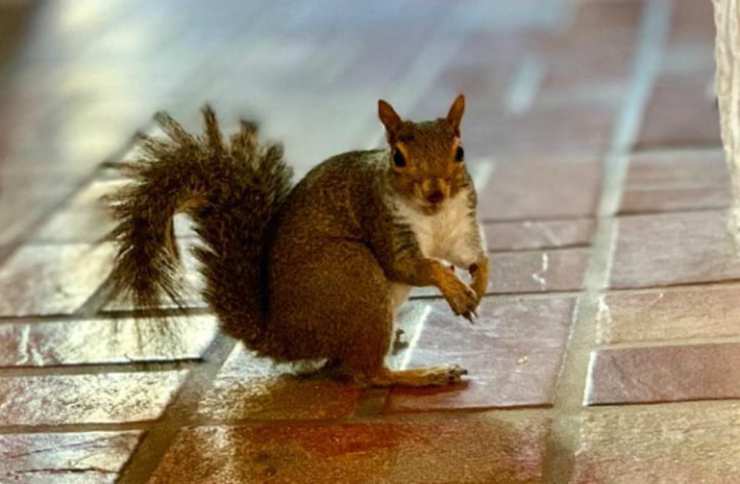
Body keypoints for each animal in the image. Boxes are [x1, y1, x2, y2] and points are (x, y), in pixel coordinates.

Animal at [105, 94, 489, 387]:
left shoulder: (460, 226)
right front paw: (454, 289)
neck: (433, 215)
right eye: (398, 157)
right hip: (352, 273)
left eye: (459, 152)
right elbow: (412, 265)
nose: (436, 192)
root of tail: (282, 337)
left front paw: (480, 282)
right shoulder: (381, 219)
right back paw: (425, 374)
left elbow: (471, 256)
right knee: (369, 374)